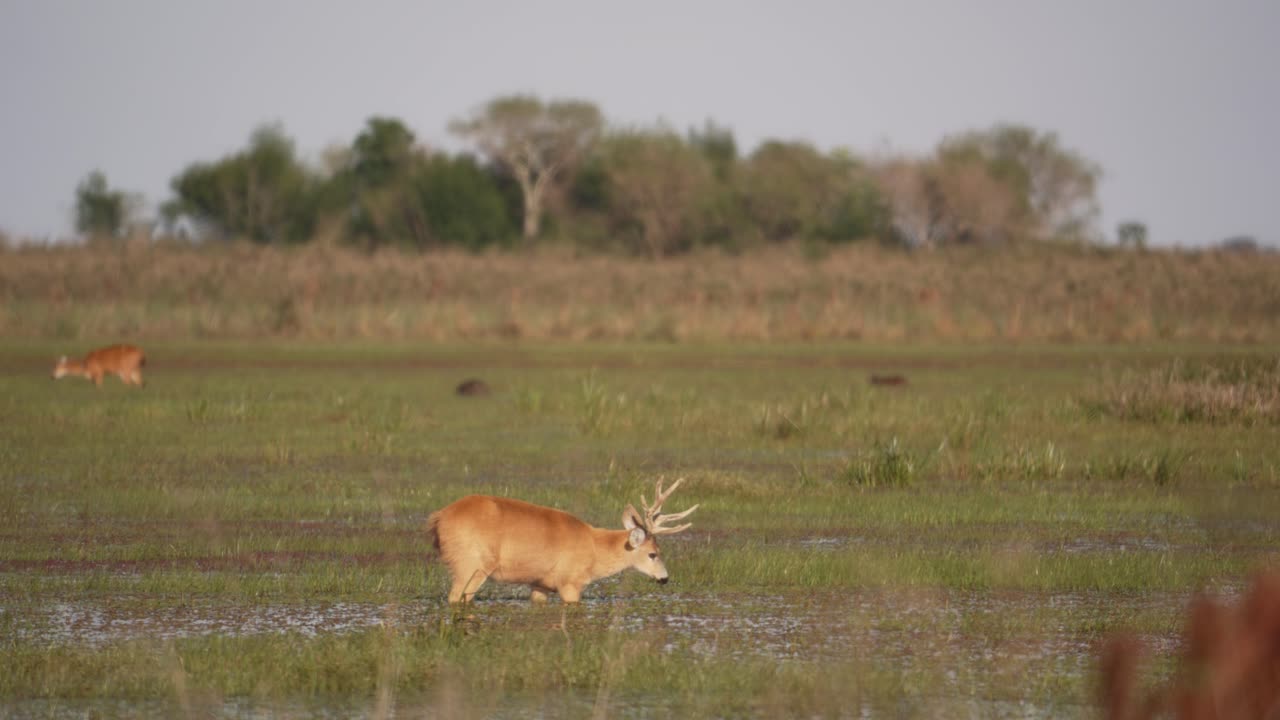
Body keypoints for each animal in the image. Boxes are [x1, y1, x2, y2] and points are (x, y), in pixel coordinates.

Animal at [426, 477, 698, 603]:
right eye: (653, 553)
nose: (664, 578)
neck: (595, 549)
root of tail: (438, 518)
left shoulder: (540, 584)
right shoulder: (570, 581)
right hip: (472, 563)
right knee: (457, 597)